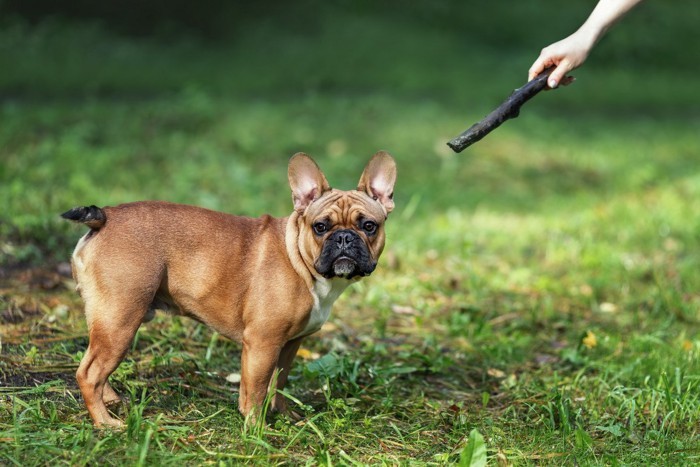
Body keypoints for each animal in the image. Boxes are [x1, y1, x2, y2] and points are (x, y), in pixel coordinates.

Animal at [63, 153, 396, 428]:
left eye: (369, 226)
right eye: (320, 227)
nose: (344, 238)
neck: (299, 259)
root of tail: (105, 216)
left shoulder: (290, 344)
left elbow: (279, 382)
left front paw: (284, 416)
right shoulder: (262, 343)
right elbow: (255, 389)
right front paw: (257, 428)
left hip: (110, 320)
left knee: (94, 362)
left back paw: (111, 401)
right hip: (121, 319)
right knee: (88, 373)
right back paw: (106, 423)